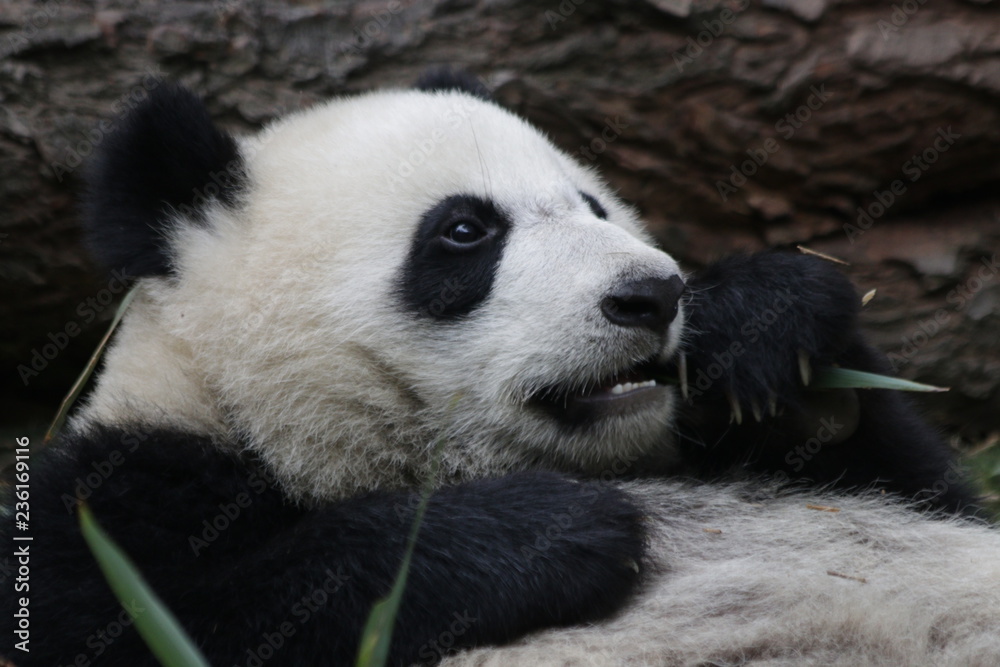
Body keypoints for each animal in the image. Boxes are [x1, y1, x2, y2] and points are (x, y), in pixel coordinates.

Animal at [3, 70, 999, 667]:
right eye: (465, 230)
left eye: (593, 204)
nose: (651, 294)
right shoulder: (132, 484)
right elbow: (151, 615)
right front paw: (550, 531)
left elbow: (919, 483)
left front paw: (764, 328)